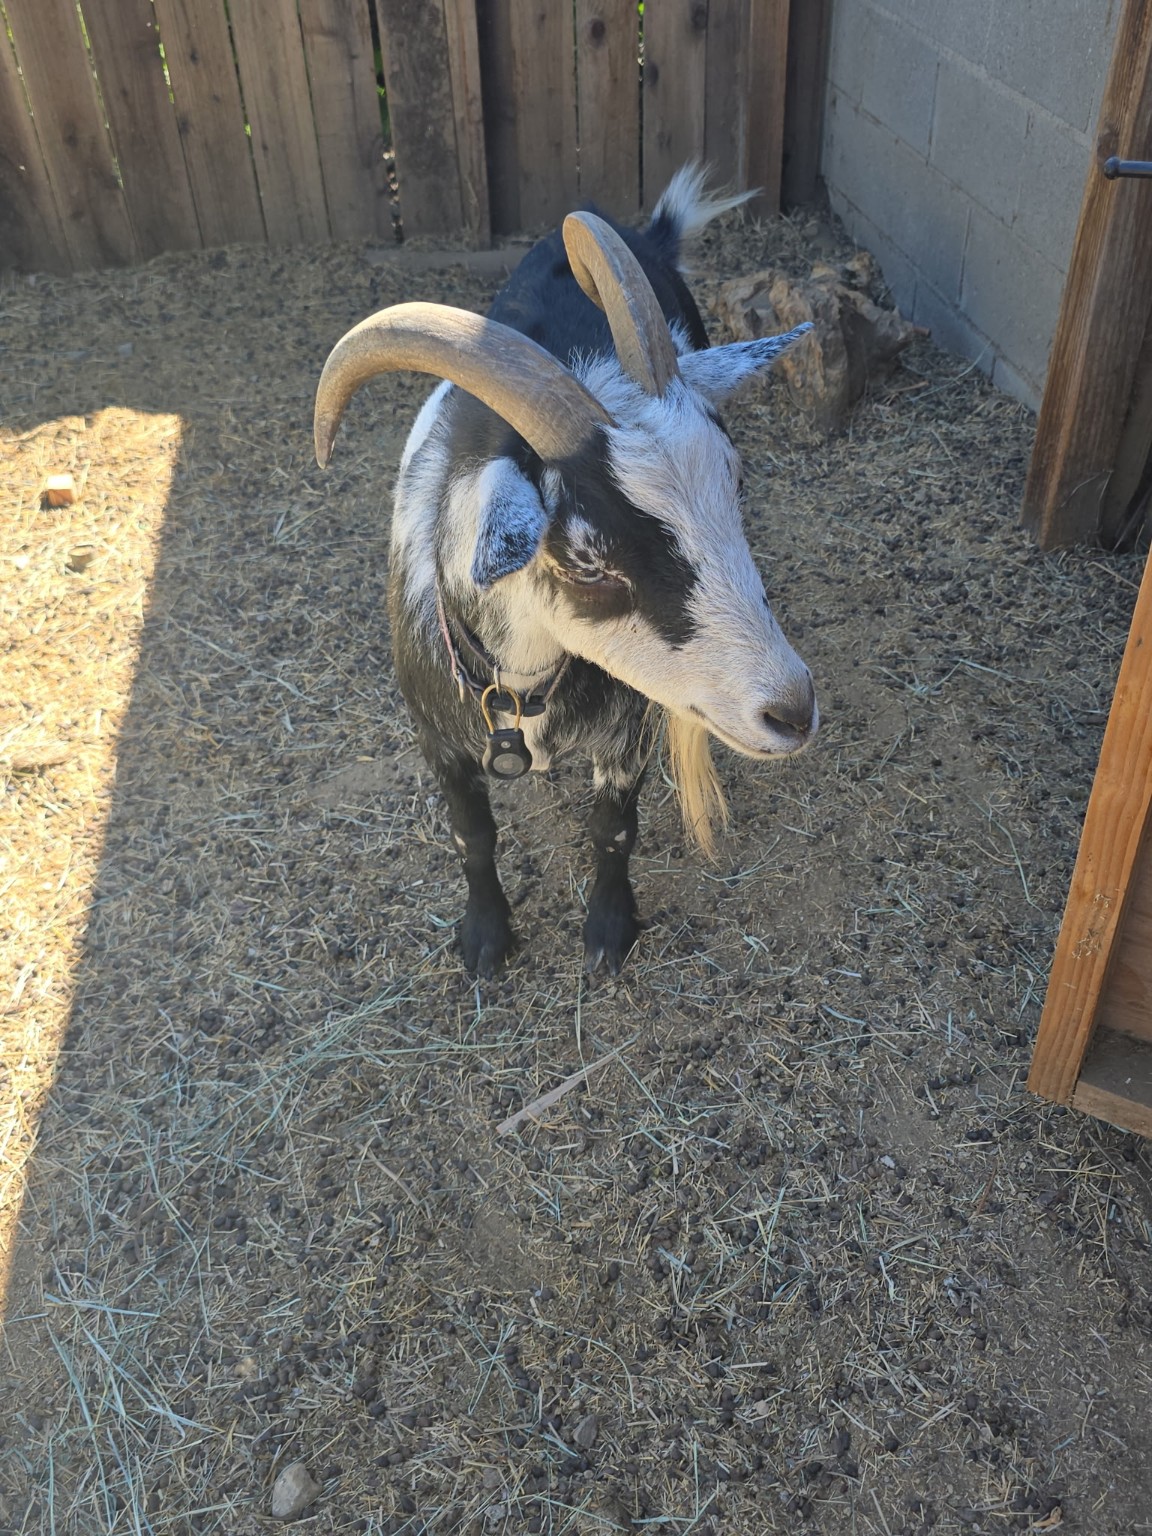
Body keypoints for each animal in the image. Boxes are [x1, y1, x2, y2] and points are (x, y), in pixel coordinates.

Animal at [314, 167, 817, 977]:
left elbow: (612, 828)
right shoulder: (437, 737)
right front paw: (485, 939)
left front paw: (609, 931)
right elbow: (472, 834)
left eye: (734, 484)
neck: (525, 688)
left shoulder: (629, 728)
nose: (791, 711)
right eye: (588, 562)